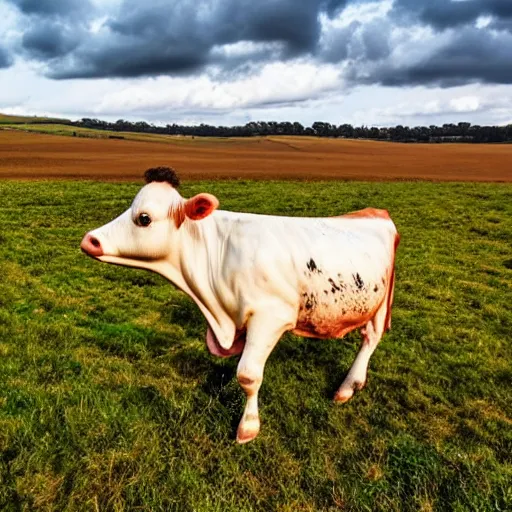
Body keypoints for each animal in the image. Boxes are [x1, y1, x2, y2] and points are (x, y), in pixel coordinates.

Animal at [81, 168, 400, 444]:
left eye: (144, 218)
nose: (89, 239)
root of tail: (376, 214)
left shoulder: (270, 318)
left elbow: (248, 375)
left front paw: (248, 427)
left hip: (380, 303)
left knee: (370, 338)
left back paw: (347, 386)